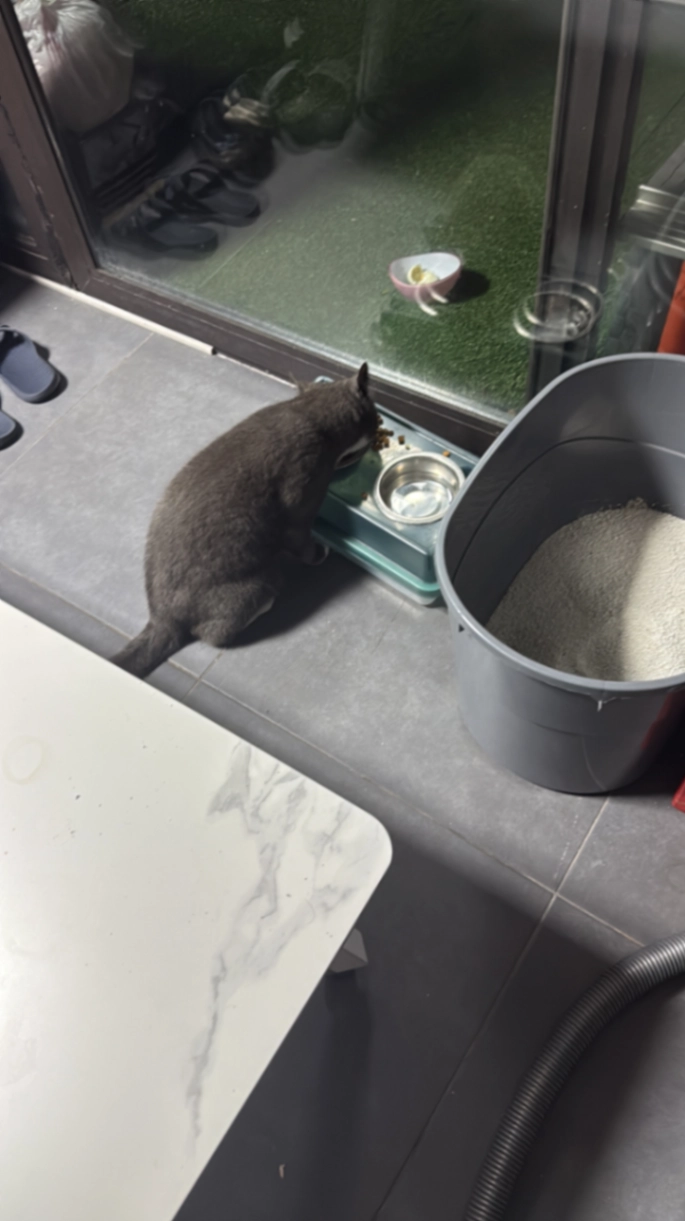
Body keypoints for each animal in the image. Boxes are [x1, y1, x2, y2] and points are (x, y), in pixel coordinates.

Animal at [111, 363, 376, 678]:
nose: (381, 422)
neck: (307, 412)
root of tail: (161, 617)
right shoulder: (301, 497)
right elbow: (301, 540)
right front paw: (321, 553)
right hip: (259, 584)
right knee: (214, 633)